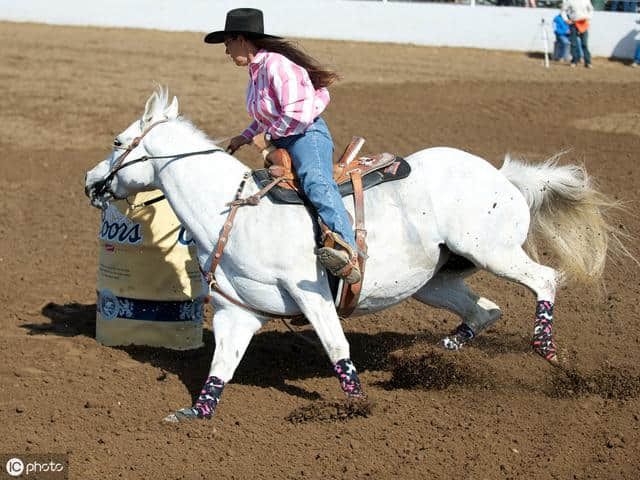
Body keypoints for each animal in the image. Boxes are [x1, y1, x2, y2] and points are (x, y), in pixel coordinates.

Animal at [86, 88, 620, 422]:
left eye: (117, 141)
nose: (91, 180)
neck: (232, 211)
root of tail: (503, 175)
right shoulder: (238, 313)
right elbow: (222, 367)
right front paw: (194, 413)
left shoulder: (313, 294)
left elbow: (336, 346)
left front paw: (357, 404)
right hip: (435, 282)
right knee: (486, 309)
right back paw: (440, 356)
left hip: (494, 251)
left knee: (544, 280)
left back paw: (546, 349)